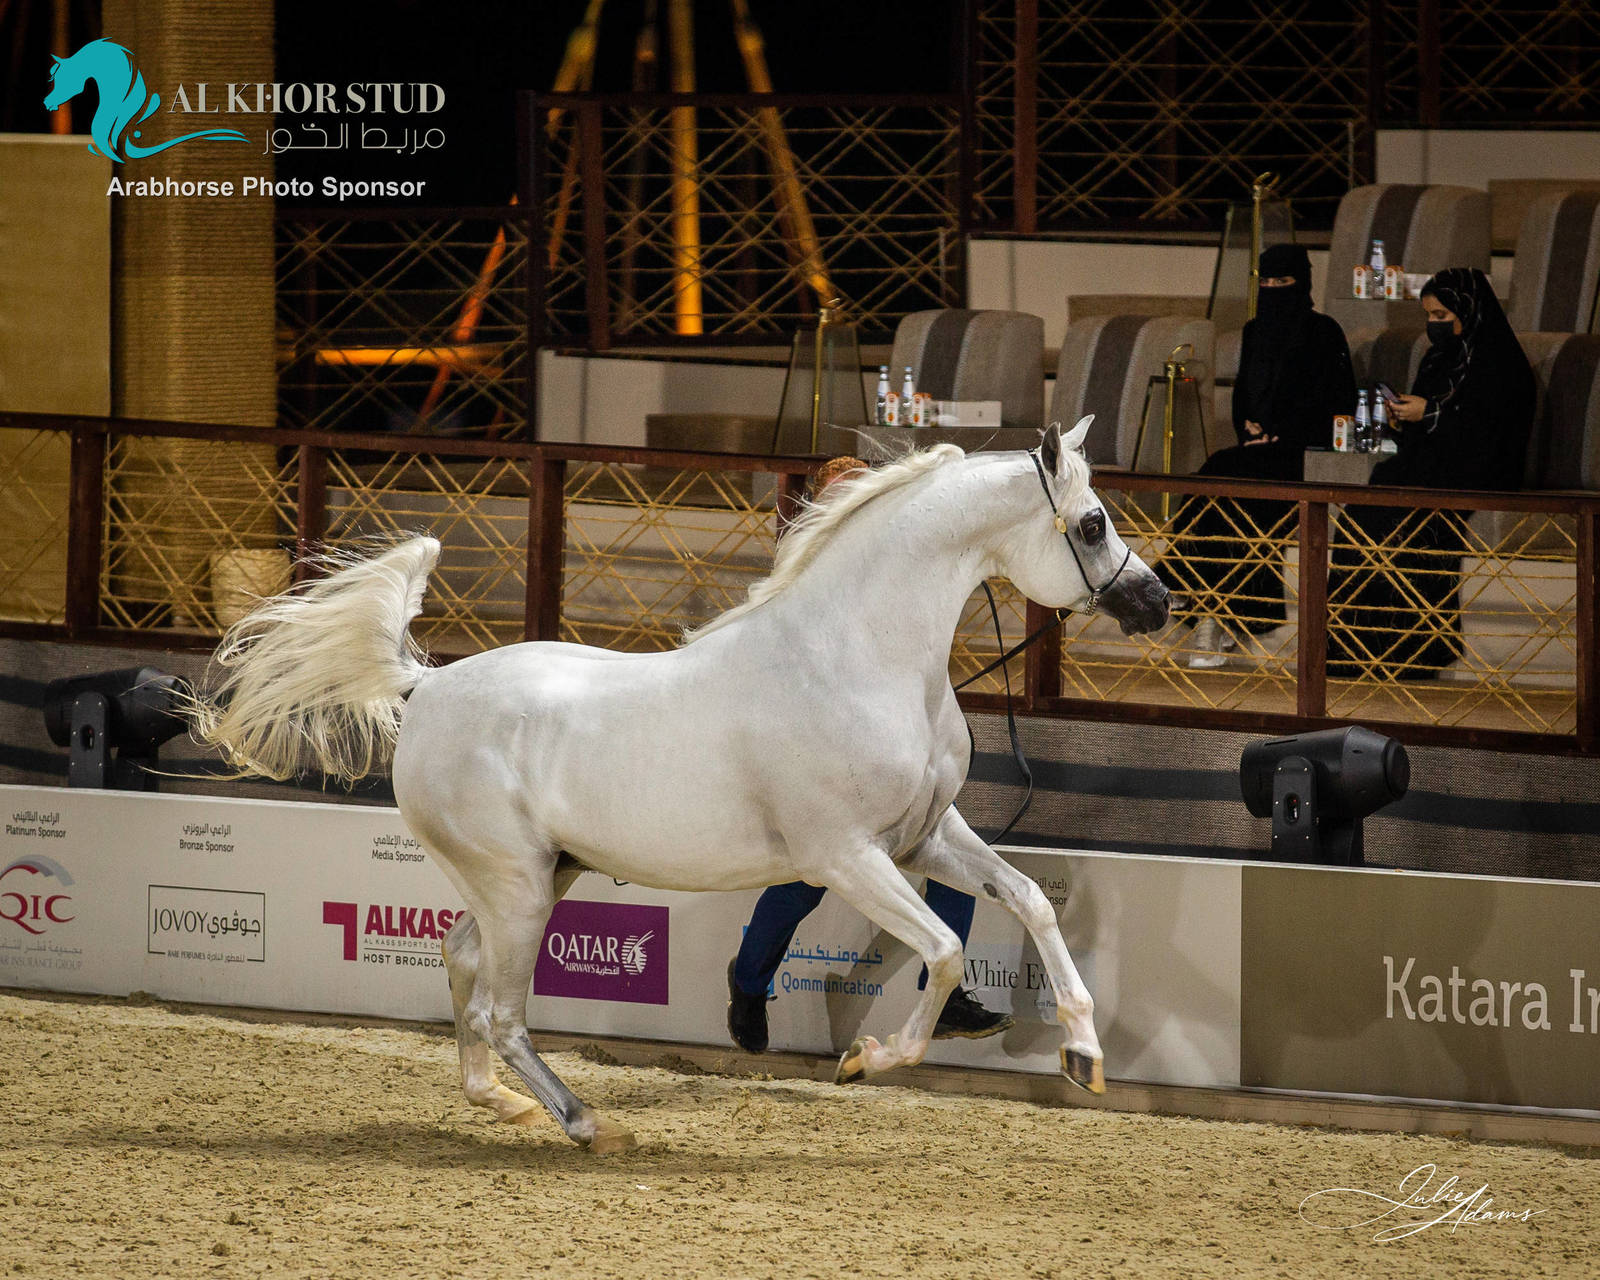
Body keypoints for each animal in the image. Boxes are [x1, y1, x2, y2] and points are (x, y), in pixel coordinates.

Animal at [191, 418, 1170, 1153]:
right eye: (1091, 524)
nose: (1156, 605)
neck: (857, 659)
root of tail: (425, 688)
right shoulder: (846, 857)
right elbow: (943, 951)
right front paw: (867, 1060)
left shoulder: (924, 836)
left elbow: (1029, 902)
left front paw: (1085, 1055)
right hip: (517, 887)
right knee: (503, 1010)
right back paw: (586, 1124)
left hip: (538, 876)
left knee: (462, 960)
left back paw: (503, 1104)